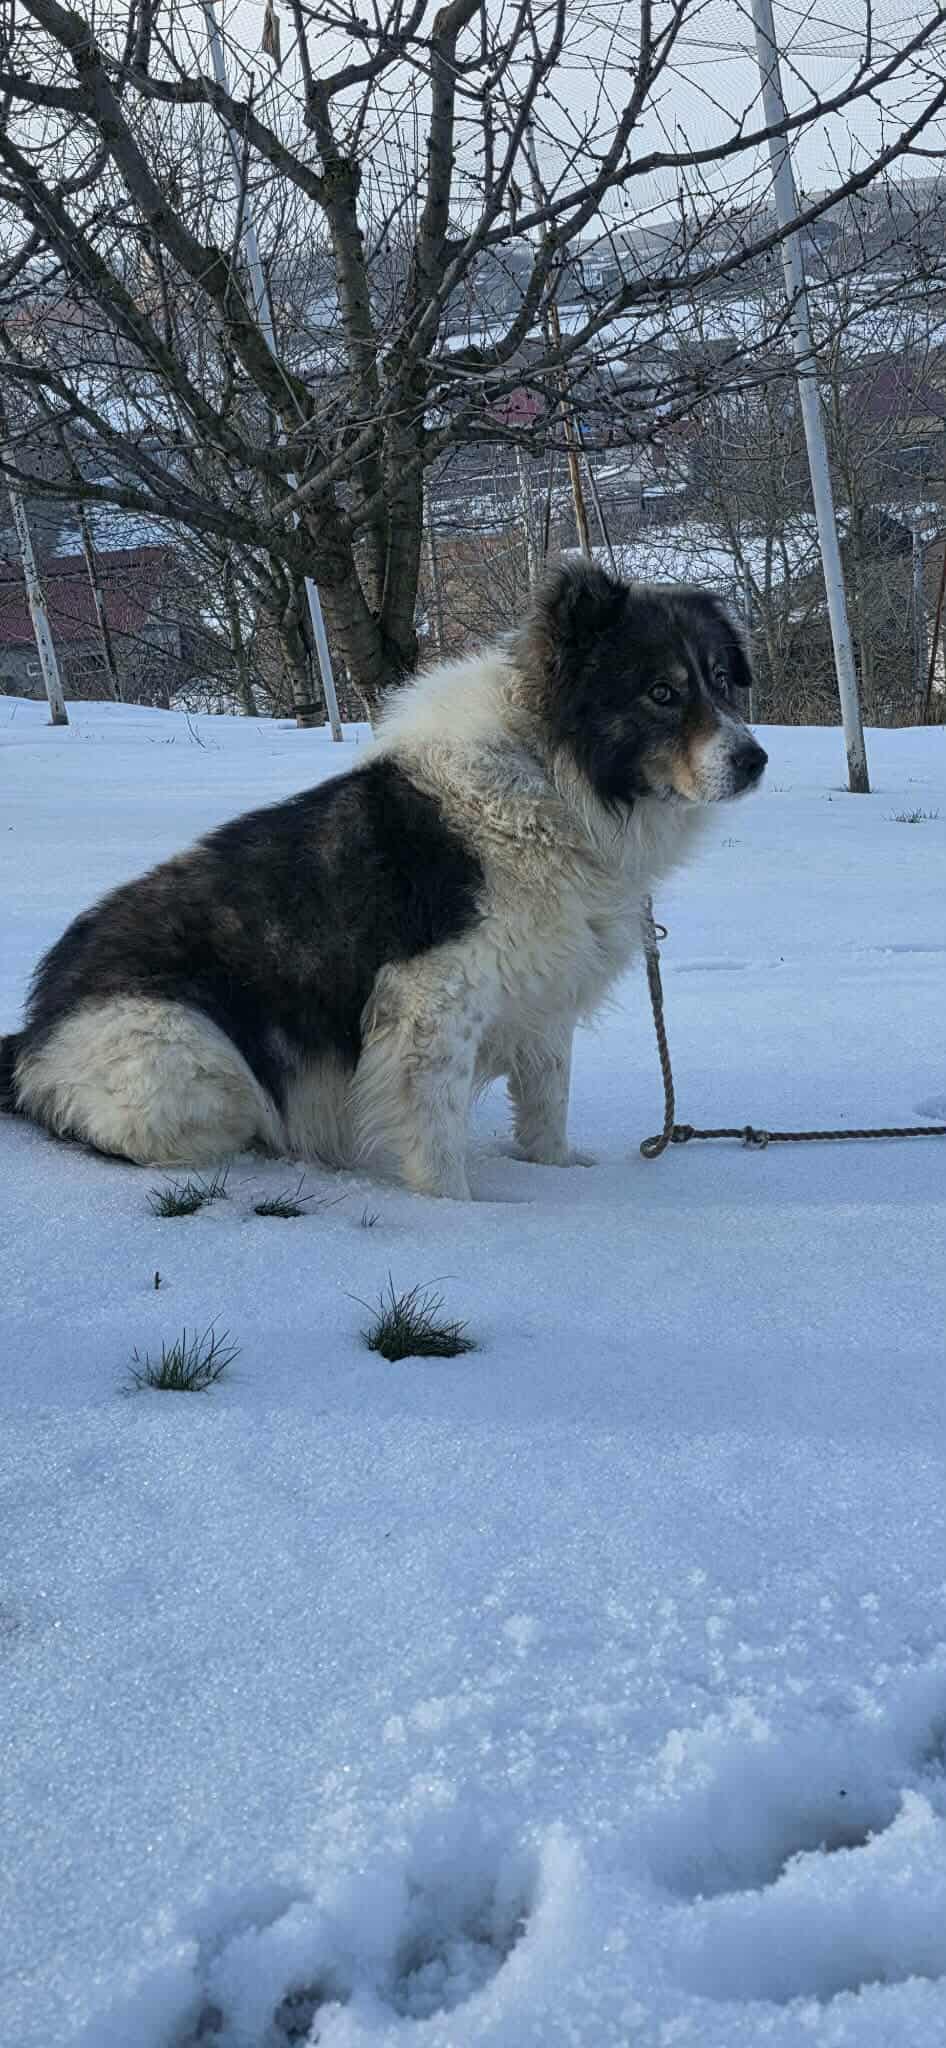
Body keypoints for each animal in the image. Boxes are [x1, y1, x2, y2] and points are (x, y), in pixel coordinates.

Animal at [1, 559, 766, 1198]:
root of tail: (33, 1033)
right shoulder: (432, 1001)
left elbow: (546, 1100)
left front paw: (557, 1171)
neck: (550, 776)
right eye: (661, 692)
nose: (755, 760)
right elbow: (435, 1131)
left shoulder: (542, 992)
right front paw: (457, 1216)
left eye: (722, 681)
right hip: (194, 1067)